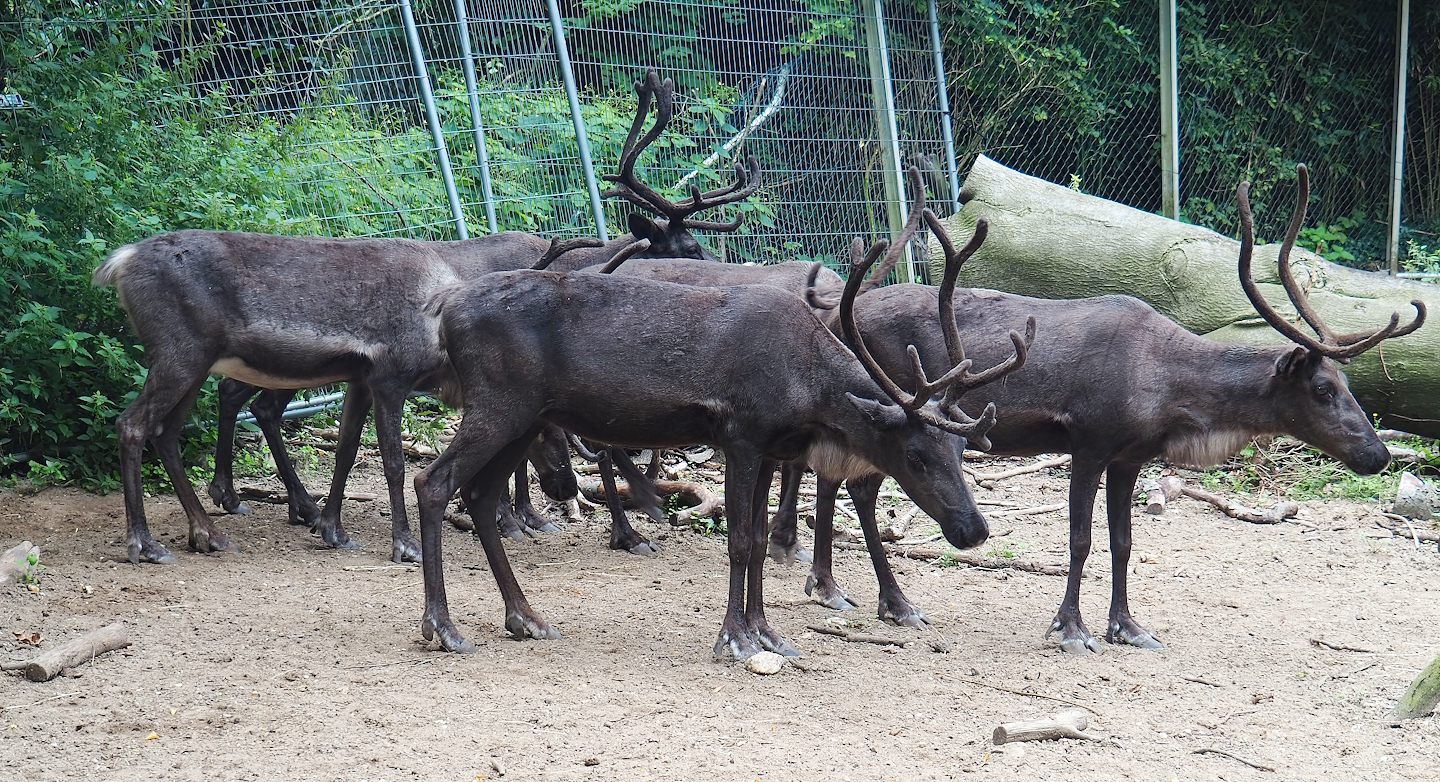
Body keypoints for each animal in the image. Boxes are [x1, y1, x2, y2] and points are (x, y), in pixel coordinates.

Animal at [409, 203, 1035, 658]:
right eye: (915, 453)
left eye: (960, 448)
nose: (973, 530)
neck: (810, 388)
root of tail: (444, 311)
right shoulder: (741, 435)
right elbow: (737, 541)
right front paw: (735, 637)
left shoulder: (772, 447)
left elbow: (757, 541)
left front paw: (767, 632)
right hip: (498, 406)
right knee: (433, 482)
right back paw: (443, 627)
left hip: (527, 419)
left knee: (480, 496)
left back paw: (526, 617)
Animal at [767, 164, 1425, 653]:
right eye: (1322, 390)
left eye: (1348, 382)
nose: (1378, 453)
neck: (1168, 388)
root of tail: (835, 318)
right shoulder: (1087, 442)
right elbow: (1080, 539)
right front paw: (1071, 628)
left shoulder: (1130, 457)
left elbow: (1124, 541)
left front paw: (1128, 627)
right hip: (896, 413)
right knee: (855, 485)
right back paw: (884, 599)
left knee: (840, 478)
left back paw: (835, 585)